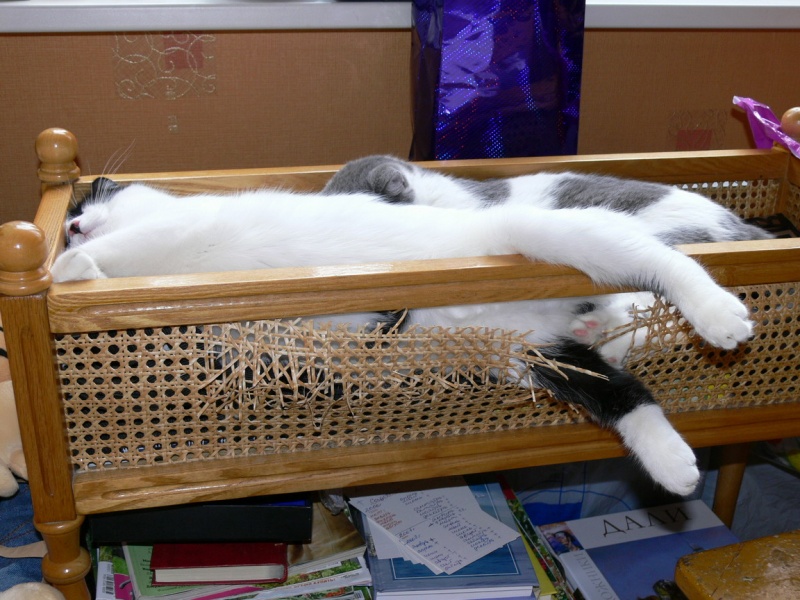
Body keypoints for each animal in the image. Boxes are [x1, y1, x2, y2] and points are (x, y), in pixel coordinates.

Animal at [52, 175, 762, 496]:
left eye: (86, 207)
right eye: (70, 217)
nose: (74, 227)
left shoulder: (179, 227)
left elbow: (126, 246)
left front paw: (65, 268)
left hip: (561, 238)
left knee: (662, 262)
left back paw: (719, 315)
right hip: (532, 356)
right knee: (618, 389)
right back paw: (673, 464)